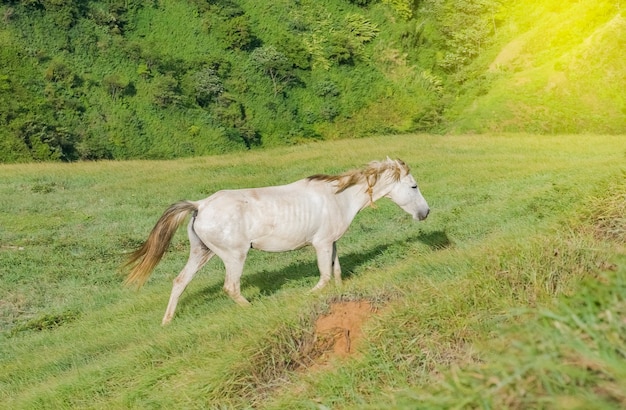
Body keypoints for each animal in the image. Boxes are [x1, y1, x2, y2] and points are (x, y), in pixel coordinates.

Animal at [127, 157, 428, 324]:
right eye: (413, 186)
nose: (425, 213)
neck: (338, 198)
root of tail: (200, 205)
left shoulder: (330, 242)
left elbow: (336, 272)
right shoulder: (320, 243)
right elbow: (324, 277)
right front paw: (305, 296)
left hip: (201, 252)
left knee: (180, 282)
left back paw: (167, 322)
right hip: (234, 256)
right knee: (230, 287)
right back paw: (254, 308)